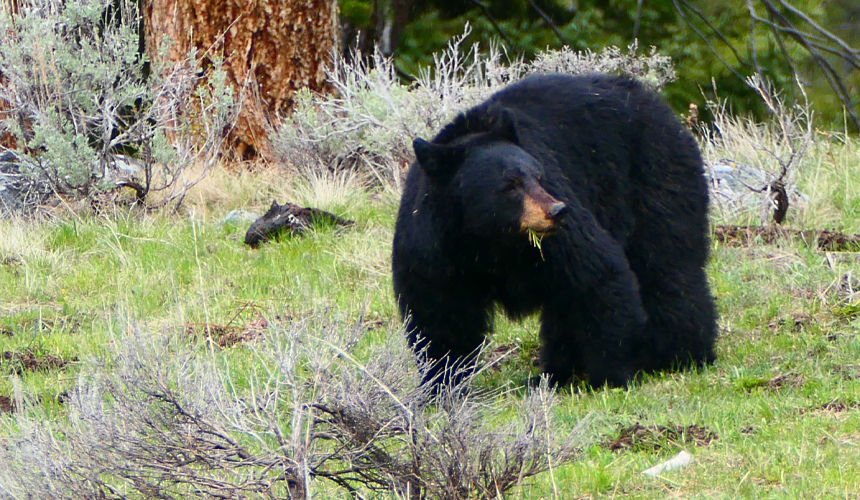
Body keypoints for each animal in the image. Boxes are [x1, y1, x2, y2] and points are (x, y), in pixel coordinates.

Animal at [394, 74, 716, 386]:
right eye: (510, 185)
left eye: (539, 176)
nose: (558, 211)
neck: (490, 239)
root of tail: (656, 102)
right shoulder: (434, 248)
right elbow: (440, 315)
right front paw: (443, 383)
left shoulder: (559, 228)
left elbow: (596, 271)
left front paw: (612, 376)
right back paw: (555, 374)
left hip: (655, 175)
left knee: (667, 265)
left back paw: (680, 354)